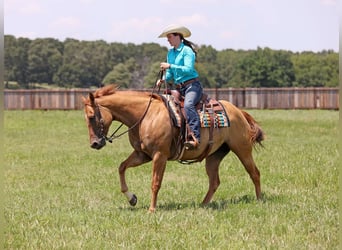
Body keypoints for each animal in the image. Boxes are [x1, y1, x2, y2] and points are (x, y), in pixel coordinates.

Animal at [82, 85, 264, 212]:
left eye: (91, 116)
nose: (94, 144)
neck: (145, 115)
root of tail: (238, 111)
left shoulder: (159, 155)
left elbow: (155, 182)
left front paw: (152, 209)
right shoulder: (142, 154)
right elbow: (122, 167)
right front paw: (132, 198)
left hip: (242, 149)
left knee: (254, 173)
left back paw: (259, 200)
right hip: (214, 156)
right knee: (214, 181)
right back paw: (203, 204)